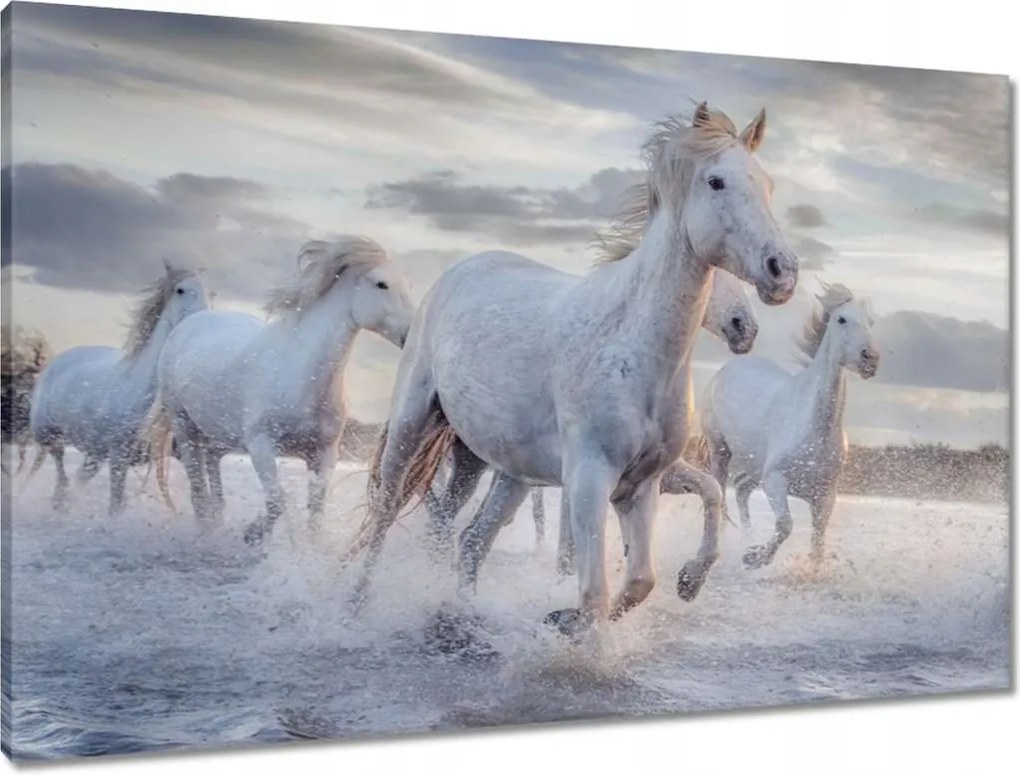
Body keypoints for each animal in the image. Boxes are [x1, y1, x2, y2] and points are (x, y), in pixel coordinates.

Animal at [26, 261, 209, 513]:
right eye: (180, 290)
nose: (201, 321)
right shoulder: (118, 456)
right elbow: (115, 506)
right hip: (49, 435)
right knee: (61, 470)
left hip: (94, 453)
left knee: (76, 478)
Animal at [151, 236, 415, 545]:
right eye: (381, 284)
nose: (412, 334)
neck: (302, 376)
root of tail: (190, 322)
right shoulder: (261, 445)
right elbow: (278, 501)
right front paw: (252, 533)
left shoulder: (324, 452)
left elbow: (315, 511)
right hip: (184, 426)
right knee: (197, 491)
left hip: (215, 437)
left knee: (214, 484)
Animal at [699, 281, 879, 569]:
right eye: (841, 319)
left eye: (870, 322)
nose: (870, 359)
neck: (814, 430)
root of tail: (726, 369)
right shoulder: (775, 481)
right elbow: (785, 525)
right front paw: (756, 558)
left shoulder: (825, 496)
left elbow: (818, 542)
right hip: (720, 450)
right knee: (721, 494)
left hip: (755, 465)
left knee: (741, 488)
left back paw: (747, 541)